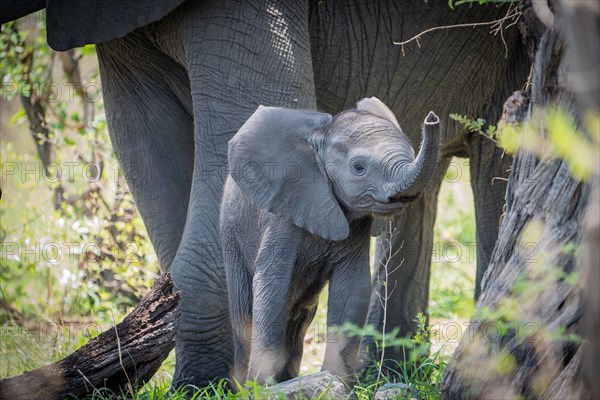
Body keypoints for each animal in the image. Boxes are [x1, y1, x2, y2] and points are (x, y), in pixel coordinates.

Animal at [220, 97, 440, 384]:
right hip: (231, 236)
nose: (432, 118)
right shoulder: (281, 216)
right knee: (245, 310)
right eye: (358, 168)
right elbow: (272, 285)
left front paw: (337, 384)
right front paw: (262, 386)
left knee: (298, 318)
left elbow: (352, 288)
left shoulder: (357, 227)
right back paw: (245, 386)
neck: (320, 137)